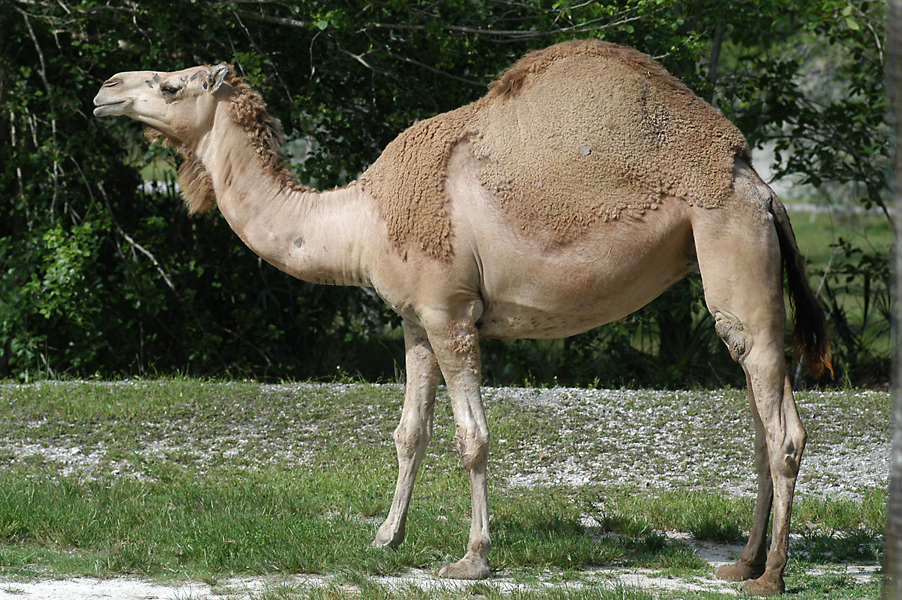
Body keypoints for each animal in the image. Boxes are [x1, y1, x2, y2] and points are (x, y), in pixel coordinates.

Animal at [93, 41, 832, 596]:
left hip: (733, 248)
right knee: (759, 421)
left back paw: (770, 575)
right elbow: (409, 433)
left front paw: (473, 558)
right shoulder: (415, 321)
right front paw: (384, 537)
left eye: (170, 86)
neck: (362, 218)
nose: (105, 88)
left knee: (783, 428)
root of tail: (760, 185)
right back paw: (740, 562)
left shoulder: (451, 313)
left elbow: (471, 437)